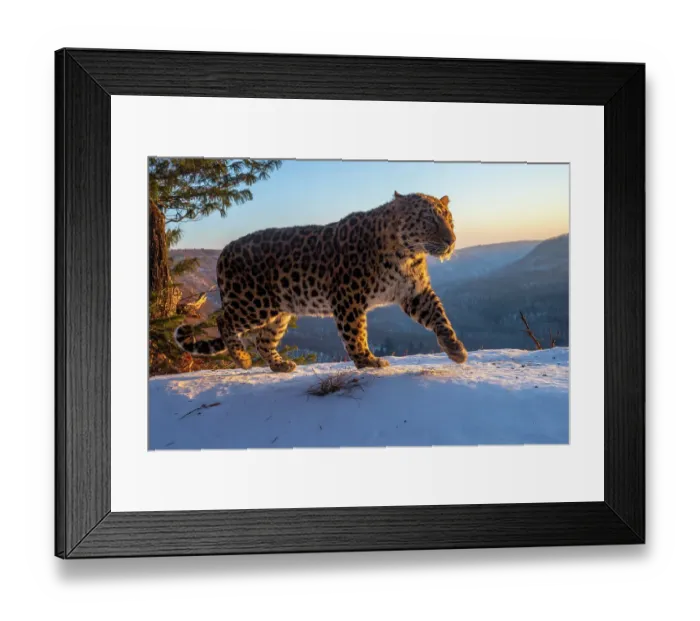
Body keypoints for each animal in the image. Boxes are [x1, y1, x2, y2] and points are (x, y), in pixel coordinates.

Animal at [174, 192, 468, 373]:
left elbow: (439, 316)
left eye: (450, 220)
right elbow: (356, 333)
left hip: (278, 312)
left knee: (263, 341)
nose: (452, 241)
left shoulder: (414, 292)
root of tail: (223, 252)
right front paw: (367, 361)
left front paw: (455, 349)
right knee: (225, 321)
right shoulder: (348, 296)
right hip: (253, 303)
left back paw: (280, 365)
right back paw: (243, 359)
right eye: (429, 220)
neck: (407, 254)